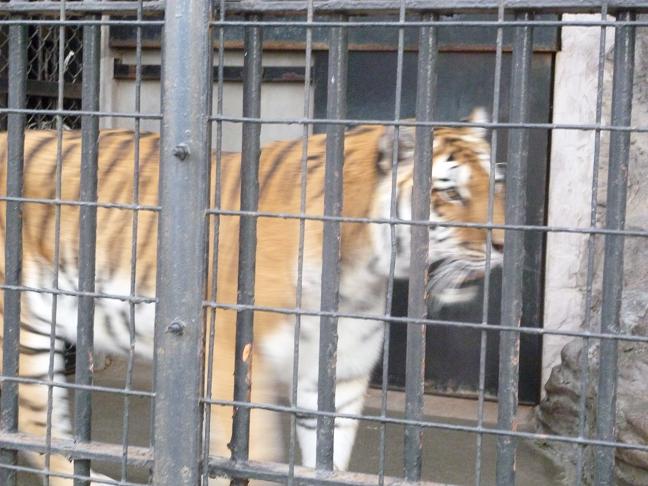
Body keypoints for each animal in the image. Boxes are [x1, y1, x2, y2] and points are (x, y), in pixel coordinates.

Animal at [0, 108, 506, 484]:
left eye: (495, 185)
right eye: (452, 194)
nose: (504, 243)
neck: (362, 273)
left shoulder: (338, 376)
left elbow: (328, 461)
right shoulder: (234, 360)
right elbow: (252, 455)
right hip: (28, 325)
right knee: (35, 424)